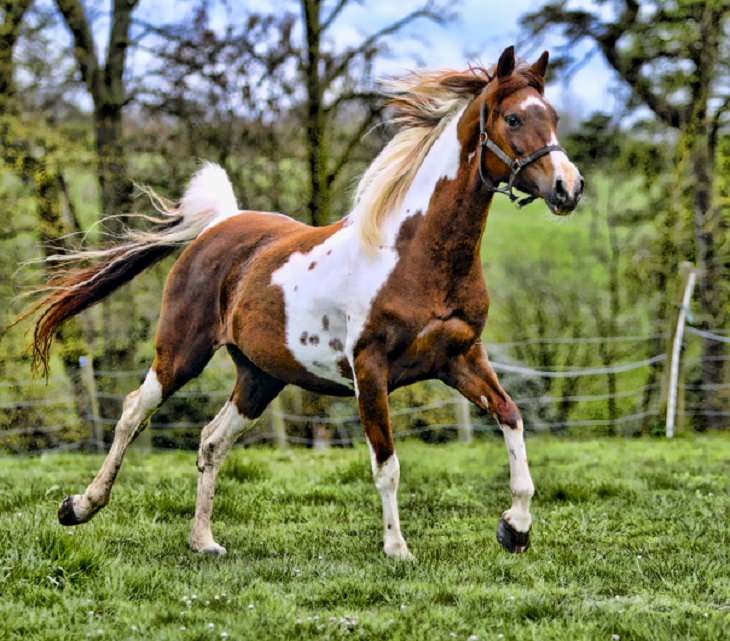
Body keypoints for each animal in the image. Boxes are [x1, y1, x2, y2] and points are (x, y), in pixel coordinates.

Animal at [25, 46, 580, 556]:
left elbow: (511, 416)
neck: (418, 255)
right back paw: (79, 506)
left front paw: (515, 528)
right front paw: (397, 548)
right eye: (513, 118)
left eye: (552, 116)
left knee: (211, 441)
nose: (568, 188)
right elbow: (387, 465)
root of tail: (219, 223)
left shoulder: (461, 357)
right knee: (132, 412)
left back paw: (204, 541)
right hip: (181, 353)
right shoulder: (370, 370)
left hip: (259, 375)